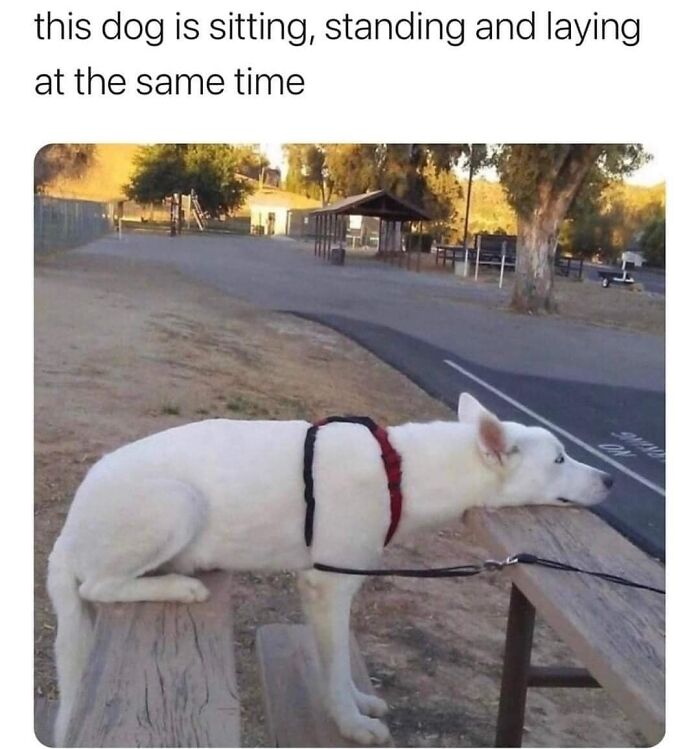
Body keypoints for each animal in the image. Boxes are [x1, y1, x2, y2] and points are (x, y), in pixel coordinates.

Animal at [47, 392, 612, 744]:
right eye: (560, 459)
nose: (609, 480)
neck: (399, 472)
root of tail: (66, 535)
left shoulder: (327, 594)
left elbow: (332, 665)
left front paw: (355, 704)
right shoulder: (328, 586)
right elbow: (337, 666)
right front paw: (350, 724)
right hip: (178, 503)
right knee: (99, 586)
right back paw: (179, 586)